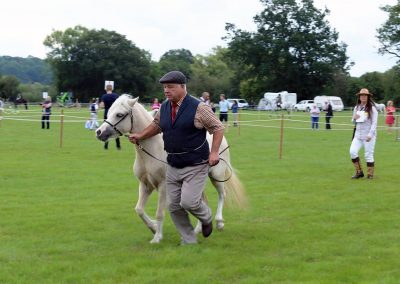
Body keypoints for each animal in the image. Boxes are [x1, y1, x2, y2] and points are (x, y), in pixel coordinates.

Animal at [97, 94, 247, 243]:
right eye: (108, 113)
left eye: (119, 114)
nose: (99, 132)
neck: (152, 149)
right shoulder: (145, 185)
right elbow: (139, 209)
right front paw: (153, 227)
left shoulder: (163, 186)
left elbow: (159, 213)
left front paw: (157, 237)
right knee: (200, 202)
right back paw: (199, 229)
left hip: (217, 176)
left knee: (222, 195)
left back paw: (219, 222)